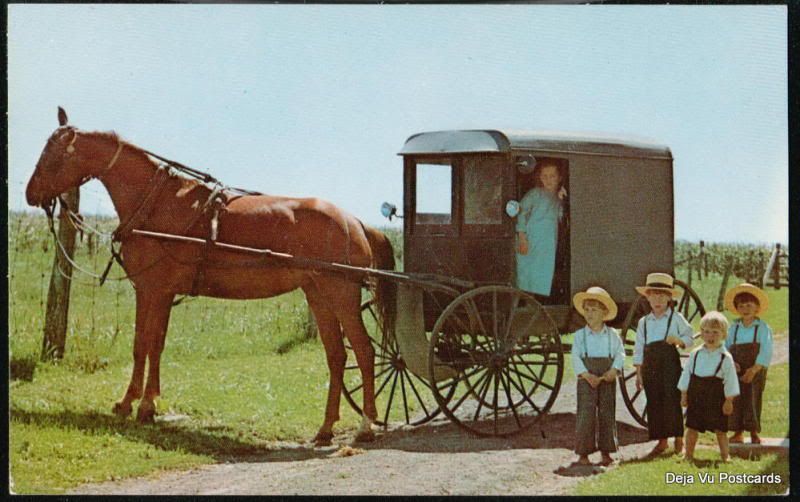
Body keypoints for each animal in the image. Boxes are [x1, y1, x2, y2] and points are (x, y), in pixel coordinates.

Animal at [25, 108, 396, 446]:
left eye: (54, 154)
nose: (30, 194)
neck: (157, 203)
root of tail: (355, 221)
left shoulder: (151, 289)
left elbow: (142, 344)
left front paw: (136, 405)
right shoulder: (160, 292)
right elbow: (154, 345)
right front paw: (142, 403)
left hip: (342, 294)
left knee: (364, 352)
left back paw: (365, 425)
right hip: (318, 294)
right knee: (337, 356)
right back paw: (326, 429)